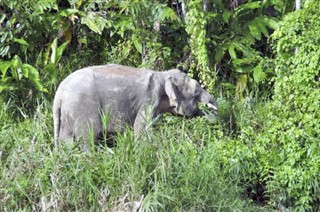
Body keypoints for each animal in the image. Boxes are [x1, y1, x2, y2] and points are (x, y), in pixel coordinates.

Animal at [53, 63, 218, 148]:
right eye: (196, 90)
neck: (163, 75)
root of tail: (59, 94)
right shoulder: (149, 99)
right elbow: (141, 128)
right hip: (84, 109)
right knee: (87, 138)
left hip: (68, 113)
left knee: (66, 139)